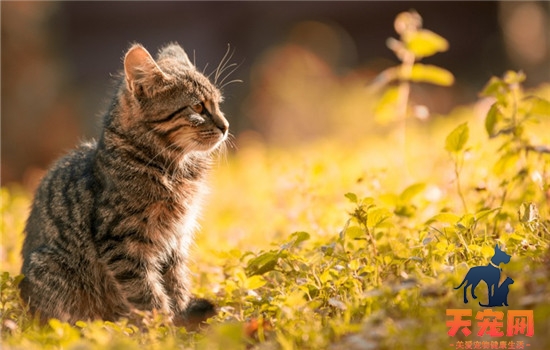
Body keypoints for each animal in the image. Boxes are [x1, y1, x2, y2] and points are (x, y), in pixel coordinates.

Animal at [19, 42, 226, 326]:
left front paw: (182, 318)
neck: (174, 168)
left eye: (218, 104)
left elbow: (177, 285)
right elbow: (148, 294)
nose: (226, 126)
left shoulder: (176, 240)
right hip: (49, 267)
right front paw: (162, 328)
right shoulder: (122, 243)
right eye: (197, 108)